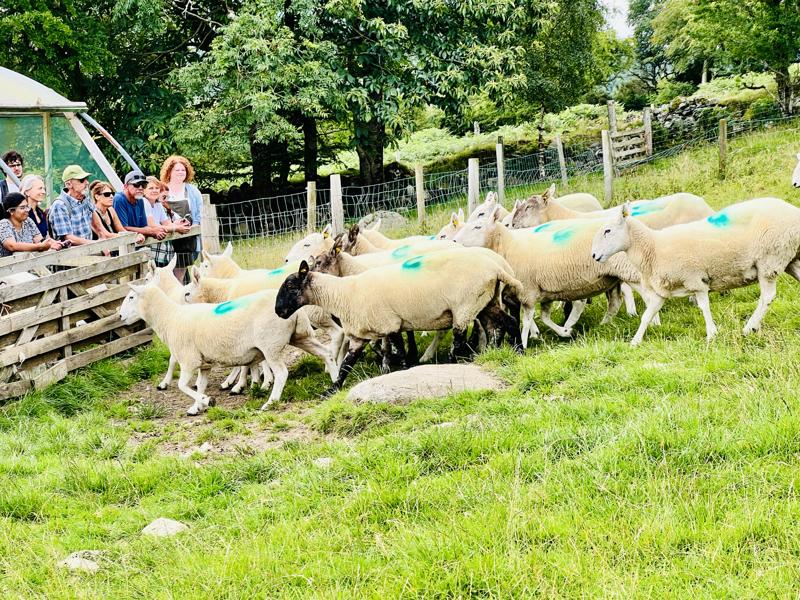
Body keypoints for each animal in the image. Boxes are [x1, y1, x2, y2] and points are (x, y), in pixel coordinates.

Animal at [276, 247, 524, 394]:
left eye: (290, 286)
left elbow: (399, 352)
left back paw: (451, 364)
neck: (343, 294)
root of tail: (497, 267)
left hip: (464, 306)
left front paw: (402, 371)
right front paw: (331, 390)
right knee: (509, 323)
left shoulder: (390, 324)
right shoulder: (360, 336)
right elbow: (347, 364)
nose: (278, 312)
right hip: (485, 301)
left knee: (459, 340)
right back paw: (518, 352)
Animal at [592, 197, 800, 344]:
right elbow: (647, 315)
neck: (652, 247)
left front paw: (711, 334)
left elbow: (704, 307)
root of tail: (792, 210)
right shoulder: (662, 290)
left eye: (608, 230)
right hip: (790, 259)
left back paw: (750, 327)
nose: (594, 255)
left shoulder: (695, 280)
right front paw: (635, 341)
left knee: (767, 297)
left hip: (769, 260)